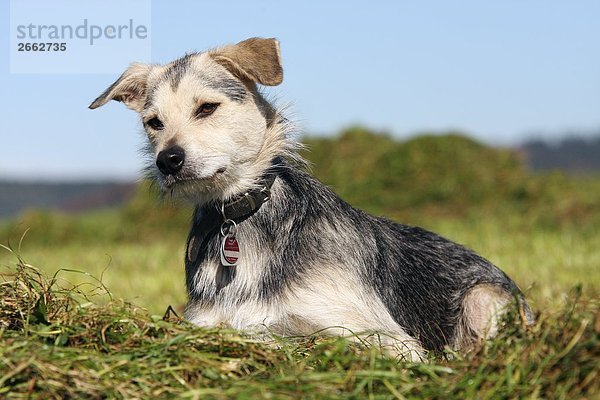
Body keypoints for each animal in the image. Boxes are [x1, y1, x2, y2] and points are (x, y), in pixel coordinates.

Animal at [88, 38, 528, 362]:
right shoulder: (207, 321)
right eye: (153, 123)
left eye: (207, 108)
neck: (241, 217)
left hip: (483, 299)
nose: (168, 161)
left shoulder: (388, 339)